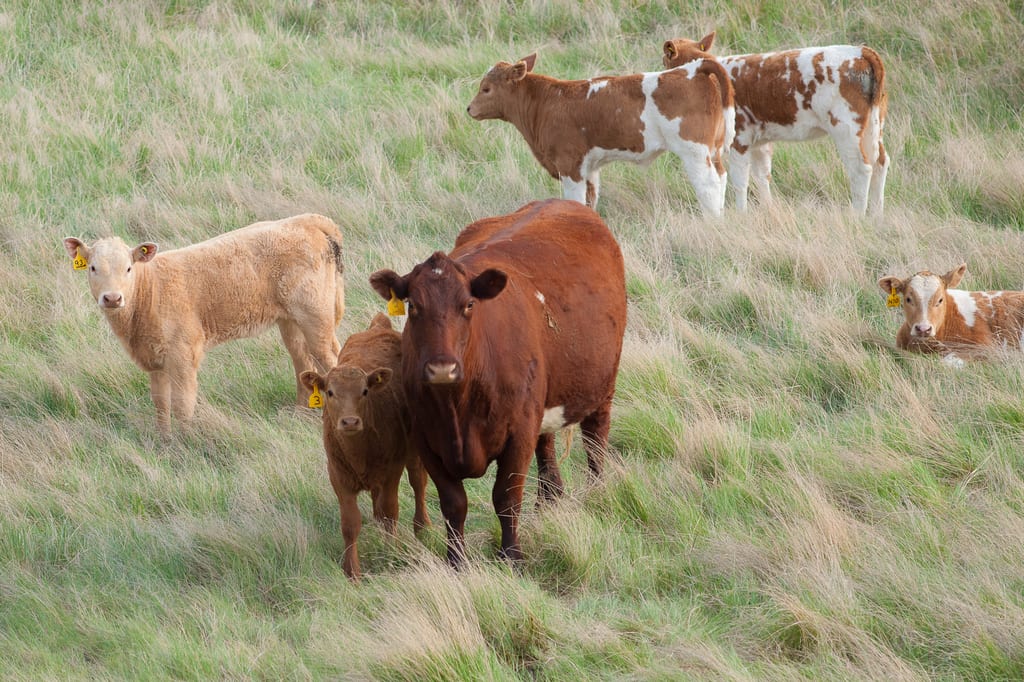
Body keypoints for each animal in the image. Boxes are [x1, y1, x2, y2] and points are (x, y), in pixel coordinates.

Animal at [64, 213, 345, 436]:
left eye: (129, 268)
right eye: (92, 267)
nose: (112, 298)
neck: (151, 290)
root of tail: (306, 220)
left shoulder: (184, 354)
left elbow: (182, 403)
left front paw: (186, 443)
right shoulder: (155, 359)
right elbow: (161, 402)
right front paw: (164, 440)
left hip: (316, 318)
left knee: (329, 359)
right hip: (290, 322)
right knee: (302, 361)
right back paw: (300, 415)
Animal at [300, 313, 431, 580]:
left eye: (364, 391)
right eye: (330, 392)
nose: (350, 421)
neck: (358, 452)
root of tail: (379, 326)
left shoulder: (392, 469)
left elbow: (391, 511)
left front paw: (391, 554)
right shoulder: (337, 475)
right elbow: (350, 523)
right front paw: (352, 572)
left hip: (413, 451)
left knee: (418, 482)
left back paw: (422, 527)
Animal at [369, 199, 627, 567]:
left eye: (468, 304)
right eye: (413, 306)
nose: (442, 368)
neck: (456, 409)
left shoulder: (517, 433)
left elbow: (505, 497)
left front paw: (511, 556)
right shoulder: (426, 438)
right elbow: (454, 504)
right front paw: (456, 561)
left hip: (601, 387)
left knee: (595, 442)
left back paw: (596, 492)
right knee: (547, 447)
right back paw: (548, 500)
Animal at [467, 52, 735, 217]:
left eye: (486, 89)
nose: (469, 108)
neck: (547, 102)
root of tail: (694, 68)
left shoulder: (570, 165)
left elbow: (575, 200)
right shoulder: (590, 168)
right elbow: (590, 200)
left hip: (693, 151)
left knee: (708, 184)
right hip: (713, 149)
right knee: (721, 178)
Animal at [662, 32, 889, 215]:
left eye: (665, 62)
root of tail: (860, 51)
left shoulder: (739, 138)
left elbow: (740, 180)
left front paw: (741, 214)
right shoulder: (759, 141)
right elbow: (762, 176)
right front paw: (768, 210)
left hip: (846, 128)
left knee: (861, 168)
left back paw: (857, 216)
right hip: (874, 126)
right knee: (880, 162)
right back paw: (876, 215)